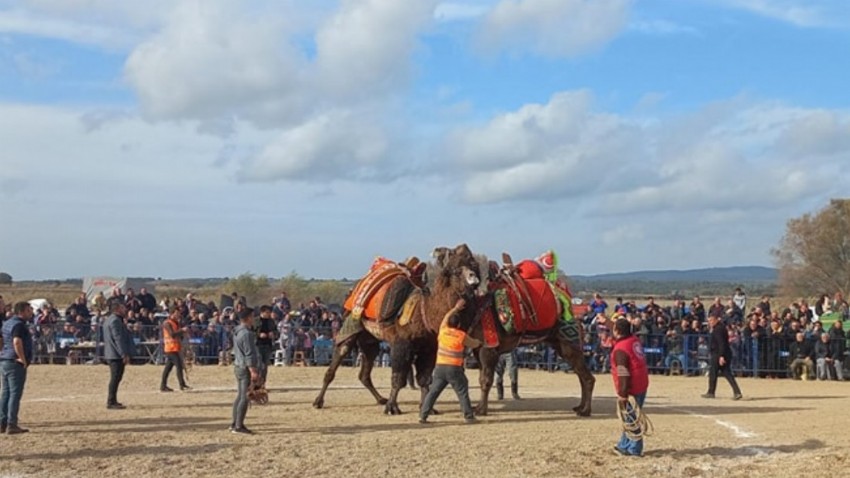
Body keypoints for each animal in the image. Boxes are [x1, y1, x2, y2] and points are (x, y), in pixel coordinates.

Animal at [314, 243, 484, 414]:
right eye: (456, 270)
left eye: (474, 267)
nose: (473, 279)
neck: (424, 313)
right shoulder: (401, 343)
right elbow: (398, 378)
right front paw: (392, 407)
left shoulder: (429, 347)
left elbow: (424, 379)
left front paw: (427, 408)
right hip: (352, 324)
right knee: (339, 356)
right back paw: (318, 401)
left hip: (369, 340)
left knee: (365, 372)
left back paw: (380, 399)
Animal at [464, 252, 596, 416]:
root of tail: (576, 319)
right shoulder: (478, 349)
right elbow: (482, 378)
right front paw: (478, 408)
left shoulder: (488, 349)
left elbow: (486, 380)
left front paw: (481, 410)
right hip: (560, 344)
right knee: (581, 375)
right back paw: (580, 407)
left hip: (570, 343)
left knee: (587, 377)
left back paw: (585, 410)